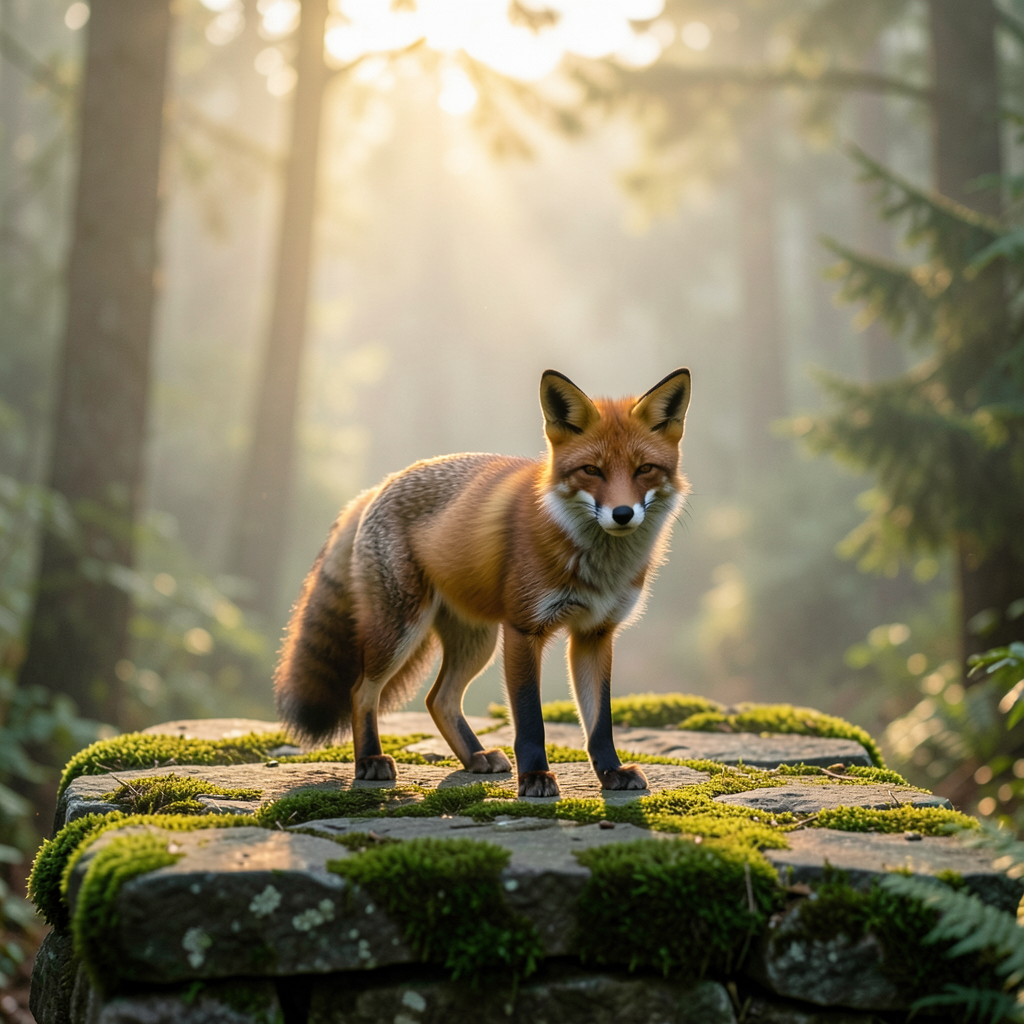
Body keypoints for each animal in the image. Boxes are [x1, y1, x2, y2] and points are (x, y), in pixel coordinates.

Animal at [274, 368, 691, 798]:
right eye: (592, 470)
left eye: (644, 469)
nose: (622, 514)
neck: (598, 565)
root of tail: (381, 484)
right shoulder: (523, 629)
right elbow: (530, 719)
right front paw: (535, 777)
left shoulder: (595, 634)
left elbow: (600, 723)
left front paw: (611, 772)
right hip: (401, 632)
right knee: (361, 691)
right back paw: (370, 760)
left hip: (477, 642)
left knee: (438, 699)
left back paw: (475, 757)